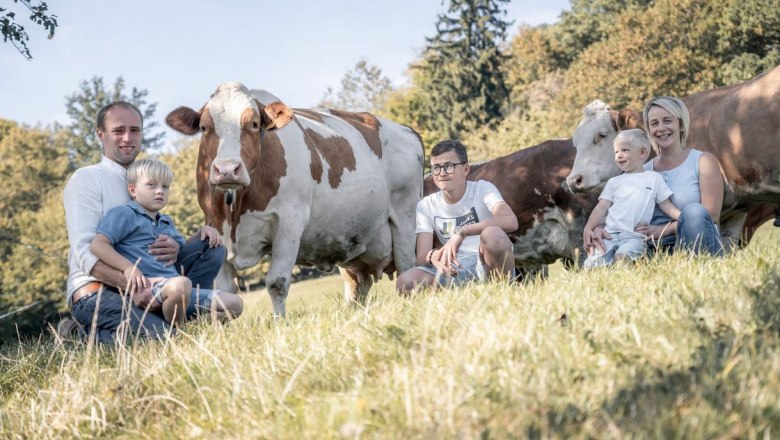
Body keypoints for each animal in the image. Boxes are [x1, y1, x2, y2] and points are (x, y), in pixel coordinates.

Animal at [167, 82, 424, 316]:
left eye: (254, 124)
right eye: (204, 127)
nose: (227, 169)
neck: (237, 208)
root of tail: (406, 130)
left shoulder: (289, 222)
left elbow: (276, 283)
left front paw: (279, 323)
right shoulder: (215, 226)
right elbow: (223, 294)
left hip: (406, 218)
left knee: (407, 268)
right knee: (357, 283)